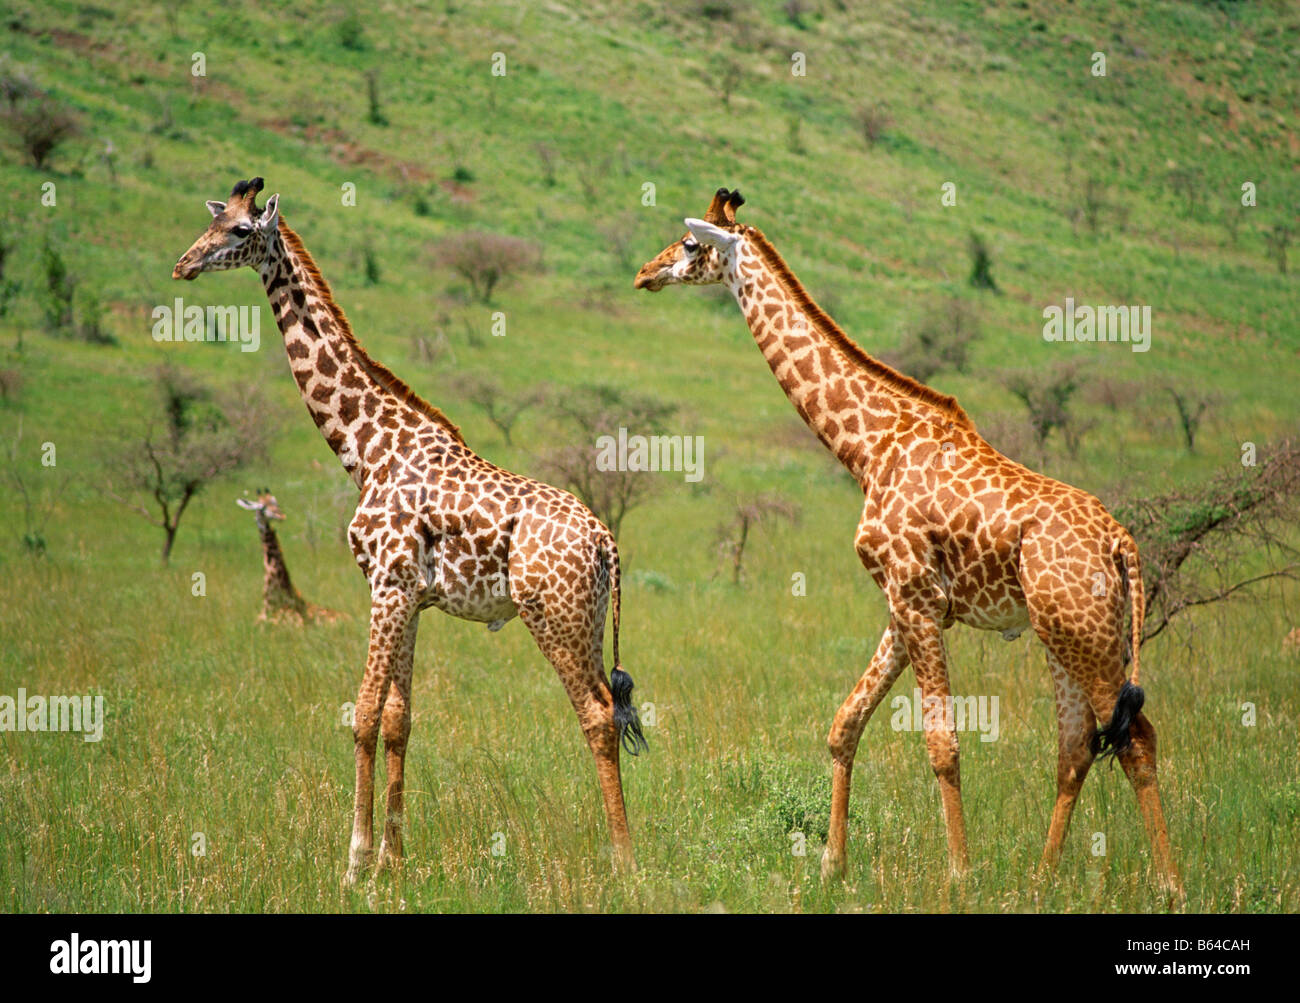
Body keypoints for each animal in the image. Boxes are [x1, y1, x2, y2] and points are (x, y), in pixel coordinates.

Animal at [631, 185, 1180, 883]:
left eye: (690, 243)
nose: (645, 274)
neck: (868, 448)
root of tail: (1123, 547)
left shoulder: (918, 596)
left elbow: (943, 744)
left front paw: (960, 876)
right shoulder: (905, 604)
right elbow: (844, 724)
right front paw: (831, 865)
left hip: (1086, 635)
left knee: (1135, 739)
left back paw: (1169, 886)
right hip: (1066, 633)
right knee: (1077, 745)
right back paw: (1041, 880)